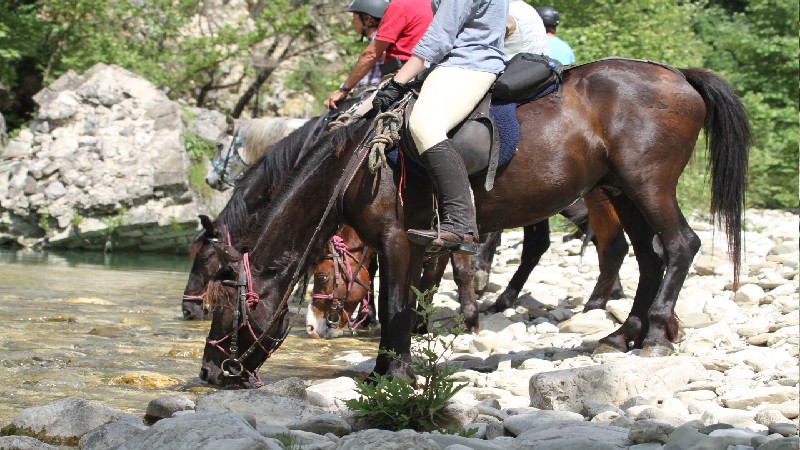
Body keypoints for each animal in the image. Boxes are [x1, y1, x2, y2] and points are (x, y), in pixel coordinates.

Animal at [198, 59, 749, 387]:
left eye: (224, 304)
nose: (209, 371)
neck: (354, 167)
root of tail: (678, 76)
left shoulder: (397, 240)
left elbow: (396, 305)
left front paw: (394, 373)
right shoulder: (411, 243)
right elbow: (405, 301)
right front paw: (389, 368)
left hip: (647, 184)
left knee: (680, 245)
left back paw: (654, 334)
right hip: (620, 191)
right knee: (650, 257)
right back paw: (623, 334)